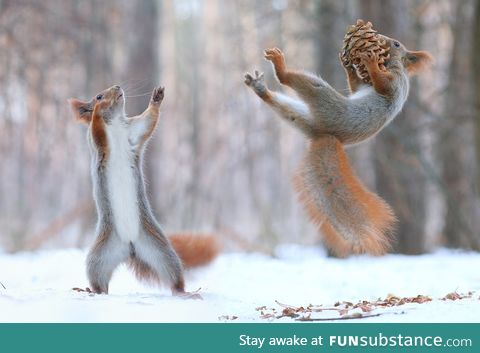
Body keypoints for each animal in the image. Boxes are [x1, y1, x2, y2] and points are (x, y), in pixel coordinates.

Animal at [68, 85, 218, 294]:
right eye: (98, 96)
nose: (117, 87)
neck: (115, 123)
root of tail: (130, 247)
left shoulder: (134, 132)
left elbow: (149, 121)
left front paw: (157, 98)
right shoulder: (97, 142)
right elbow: (97, 130)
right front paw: (98, 109)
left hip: (160, 250)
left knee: (173, 276)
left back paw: (186, 293)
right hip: (99, 256)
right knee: (99, 281)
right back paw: (91, 291)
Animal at [244, 34, 432, 256]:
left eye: (396, 44)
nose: (381, 39)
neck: (392, 65)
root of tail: (325, 135)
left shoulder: (395, 83)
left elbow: (383, 85)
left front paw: (369, 63)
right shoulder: (364, 86)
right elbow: (355, 87)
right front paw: (349, 66)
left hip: (325, 100)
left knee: (291, 81)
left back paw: (280, 67)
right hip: (301, 117)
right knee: (285, 108)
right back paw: (260, 88)